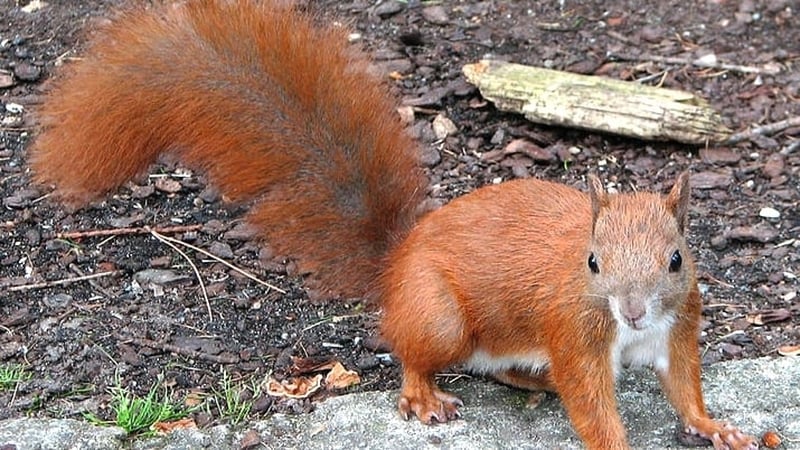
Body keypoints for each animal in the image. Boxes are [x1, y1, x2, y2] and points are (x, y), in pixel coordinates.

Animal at [30, 1, 757, 449]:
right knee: (413, 352)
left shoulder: (679, 328)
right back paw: (424, 395)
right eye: (593, 261)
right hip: (439, 316)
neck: (632, 332)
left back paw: (528, 379)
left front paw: (718, 427)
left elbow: (684, 387)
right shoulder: (575, 334)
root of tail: (396, 263)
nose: (631, 310)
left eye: (677, 259)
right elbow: (590, 400)